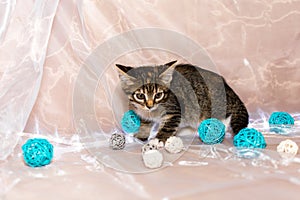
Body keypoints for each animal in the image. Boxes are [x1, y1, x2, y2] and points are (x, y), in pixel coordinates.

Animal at [116, 61, 250, 142]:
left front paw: (157, 141)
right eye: (140, 96)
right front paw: (142, 135)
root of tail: (229, 89)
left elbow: (167, 127)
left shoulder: (174, 110)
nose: (149, 105)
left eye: (158, 95)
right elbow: (144, 122)